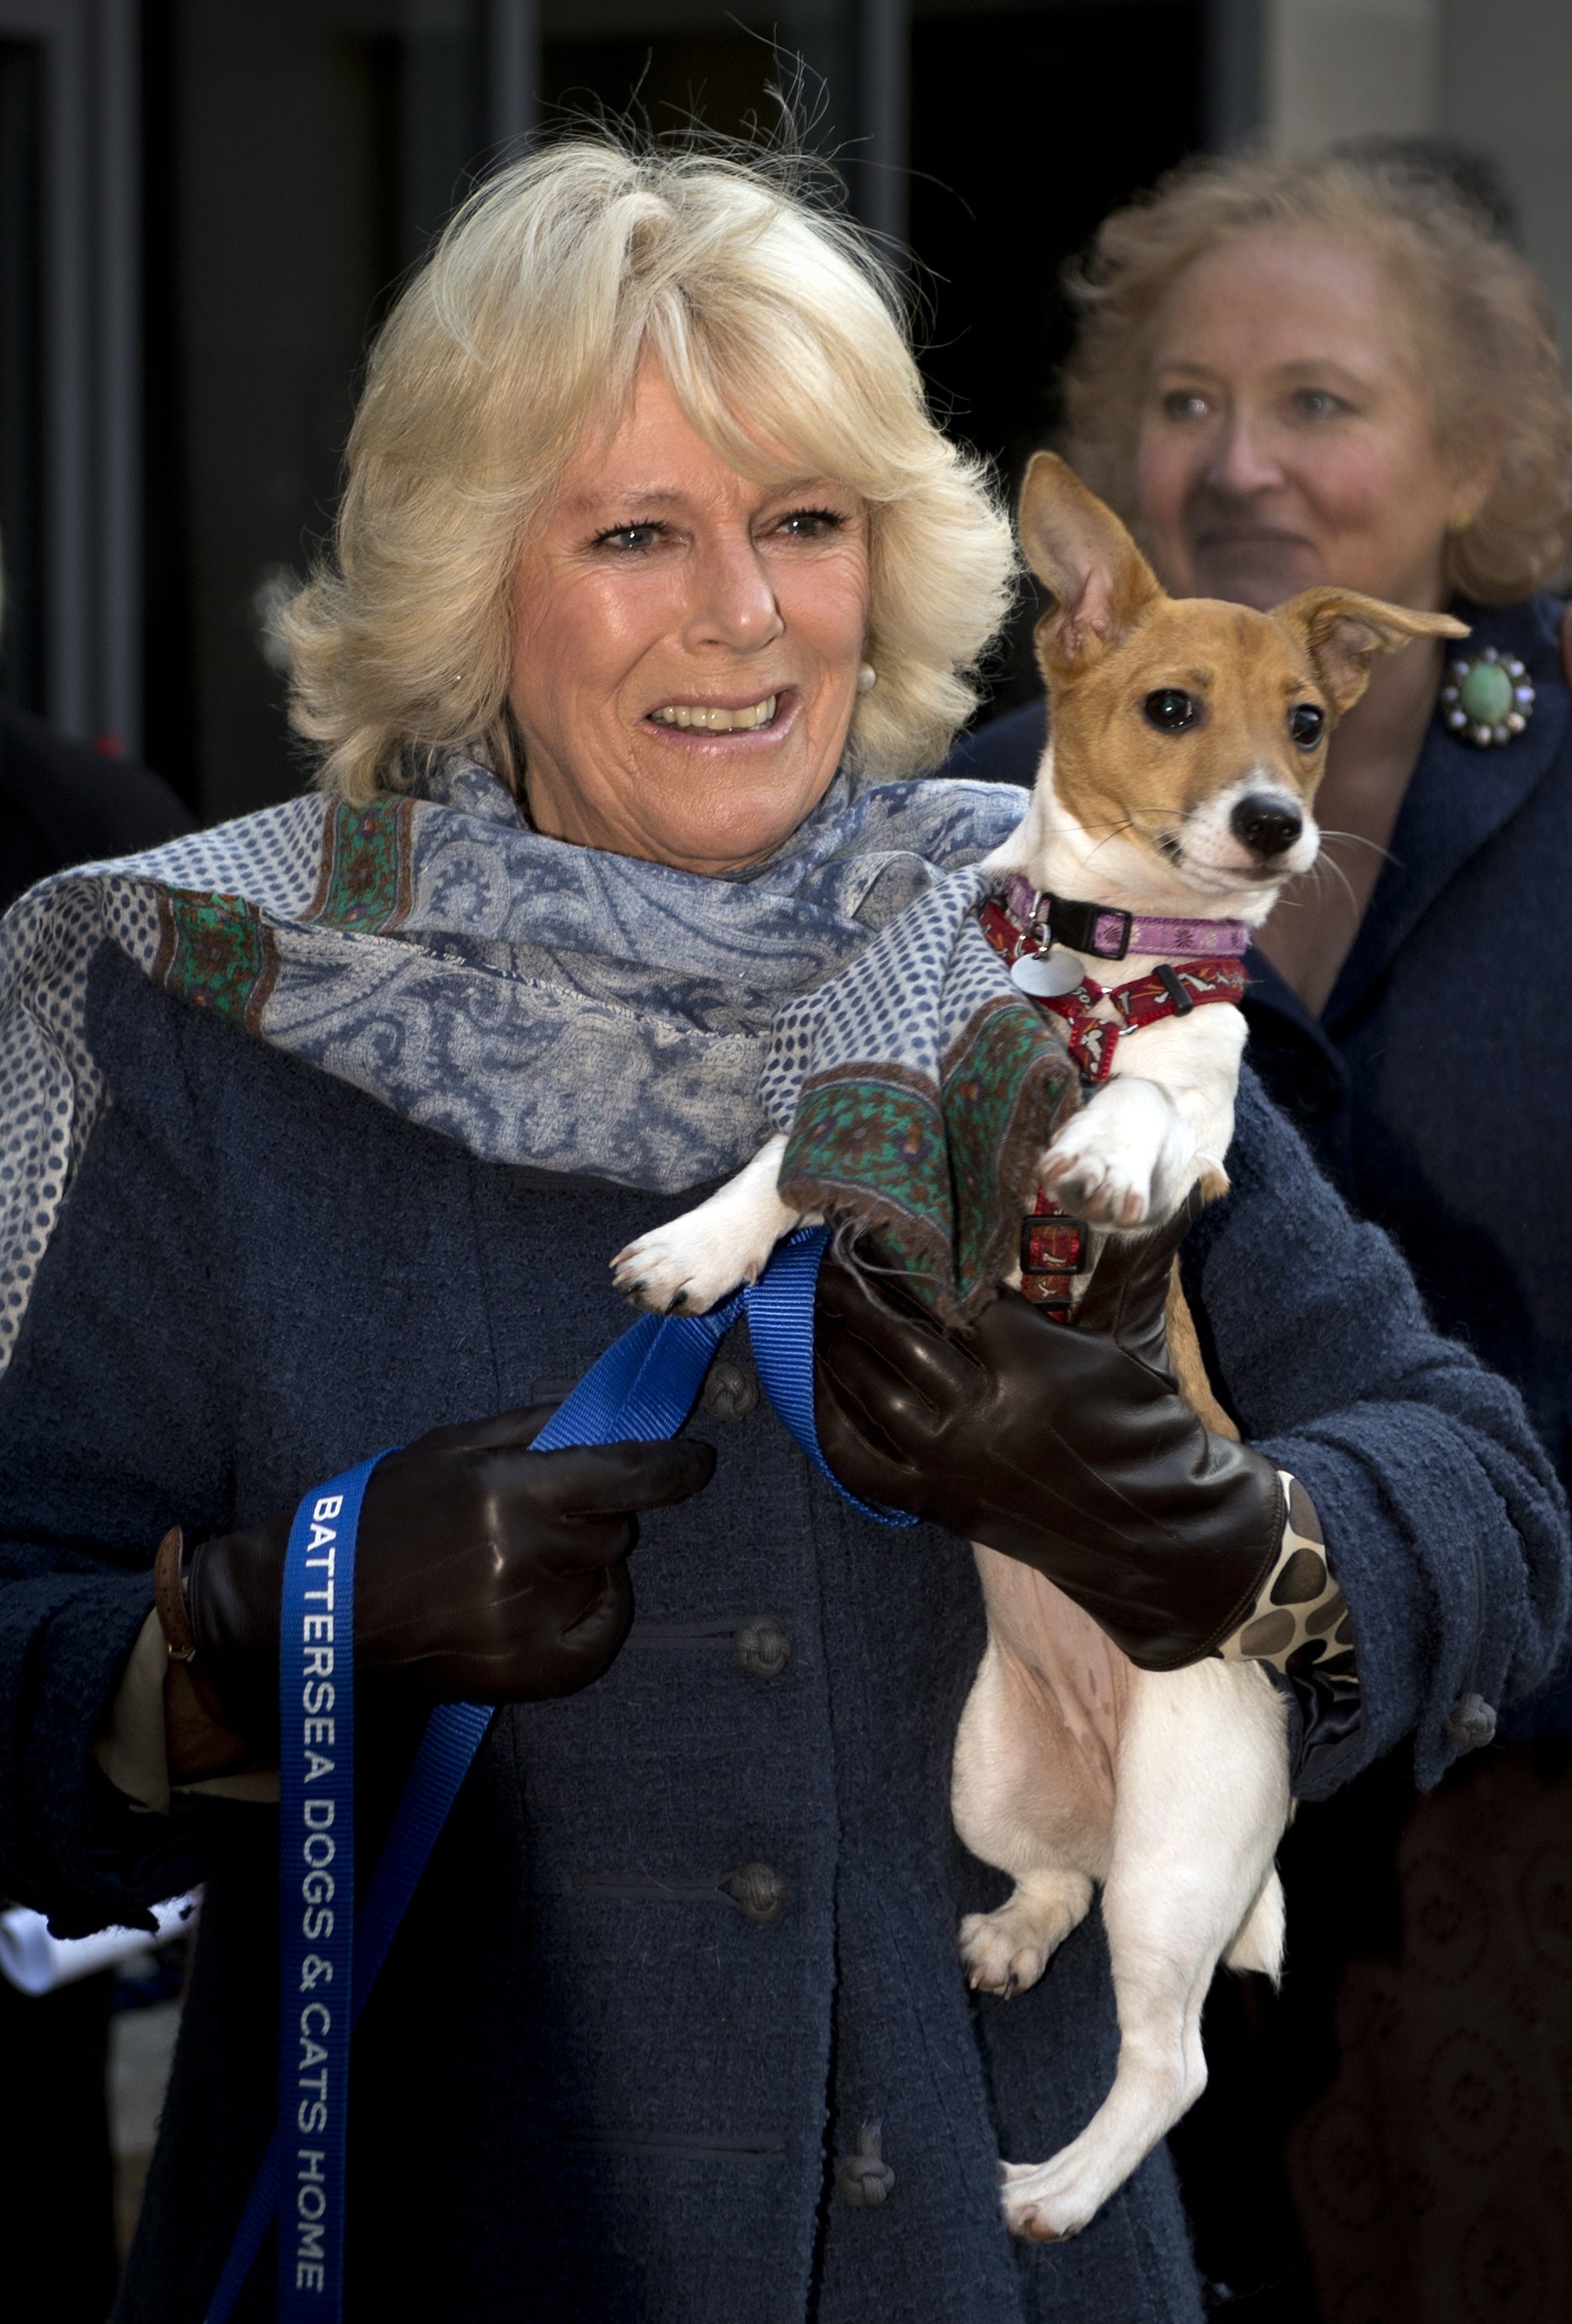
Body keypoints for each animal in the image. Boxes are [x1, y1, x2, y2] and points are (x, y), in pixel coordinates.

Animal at [609, 448, 1460, 2231]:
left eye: (1307, 722)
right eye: (1170, 704)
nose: (1276, 824)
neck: (1096, 966)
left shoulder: (1206, 1104)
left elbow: (1155, 1096)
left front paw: (1102, 1151)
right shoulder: (901, 1081)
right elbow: (785, 1159)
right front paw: (699, 1243)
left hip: (1181, 1858)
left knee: (1172, 2058)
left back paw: (1058, 2189)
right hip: (995, 1775)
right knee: (1055, 1879)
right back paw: (1007, 1931)